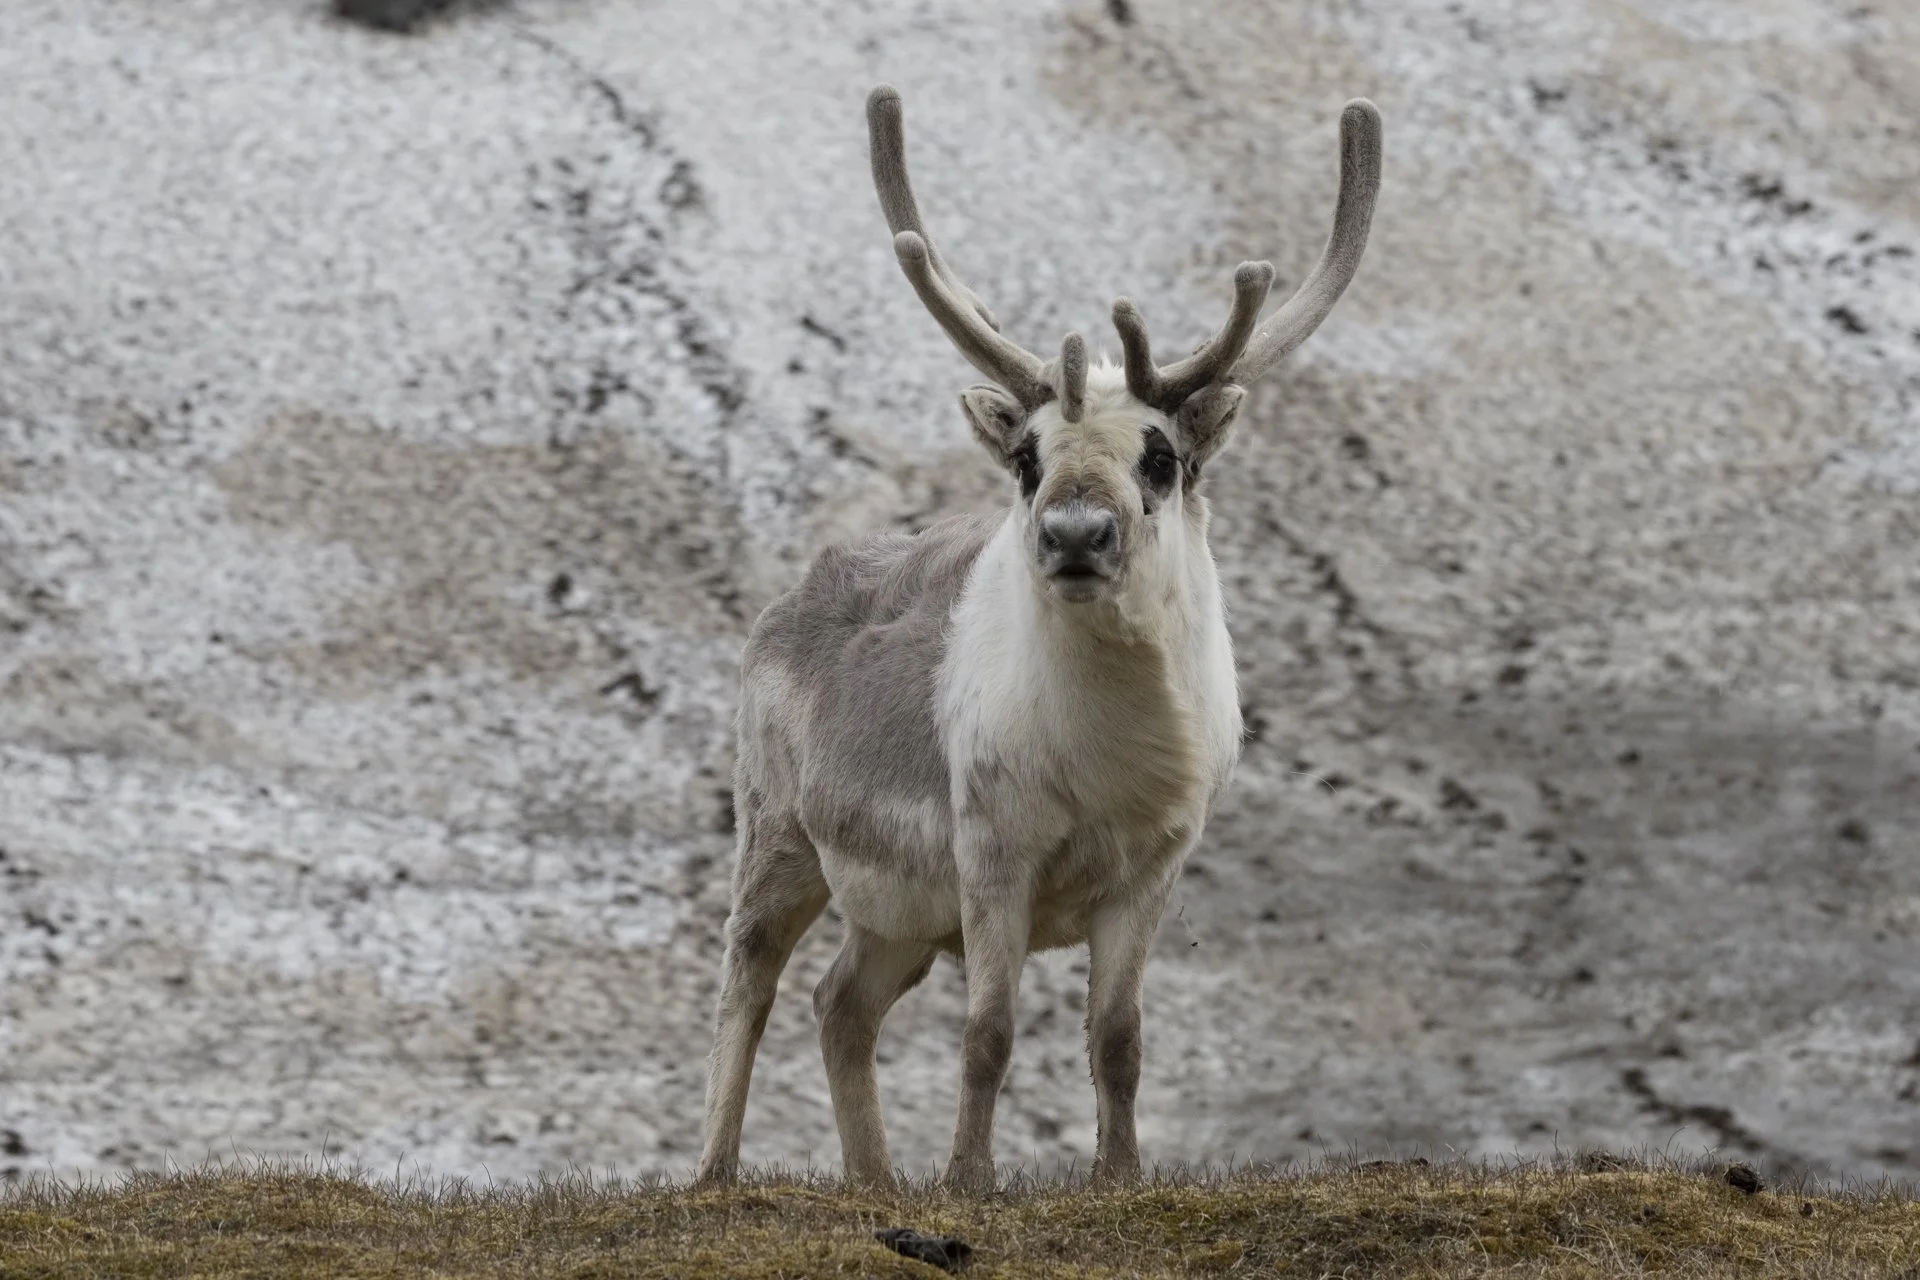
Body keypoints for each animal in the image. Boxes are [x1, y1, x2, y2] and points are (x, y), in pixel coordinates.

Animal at [695, 83, 1382, 1191]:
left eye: (1161, 455)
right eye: (1027, 456)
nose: (1074, 533)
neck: (1106, 758)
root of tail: (782, 605)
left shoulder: (1153, 867)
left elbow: (1120, 1038)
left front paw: (1118, 1177)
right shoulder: (992, 850)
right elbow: (989, 1030)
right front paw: (968, 1180)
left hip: (897, 913)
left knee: (840, 1002)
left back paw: (874, 1179)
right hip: (779, 830)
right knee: (749, 977)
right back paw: (717, 1170)